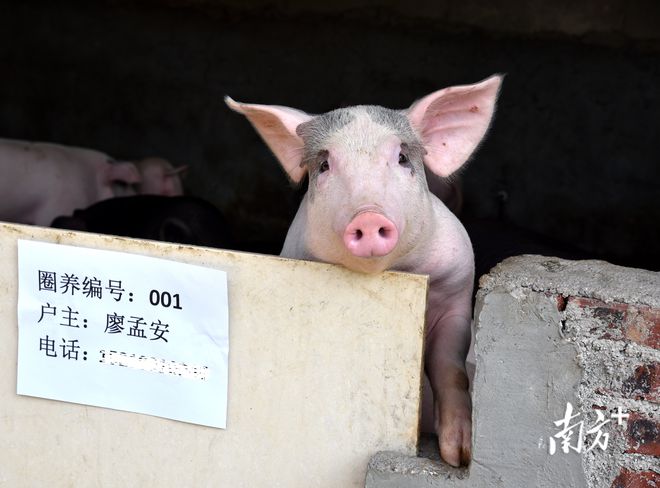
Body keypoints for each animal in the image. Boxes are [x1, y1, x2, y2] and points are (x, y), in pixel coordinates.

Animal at [227, 74, 500, 468]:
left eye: (402, 158)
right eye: (324, 166)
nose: (368, 217)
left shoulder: (456, 289)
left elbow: (449, 368)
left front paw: (458, 456)